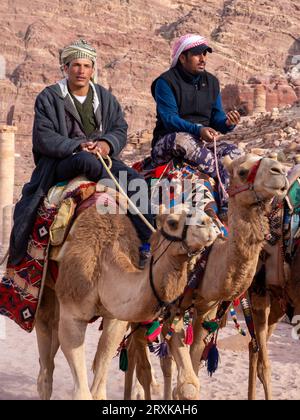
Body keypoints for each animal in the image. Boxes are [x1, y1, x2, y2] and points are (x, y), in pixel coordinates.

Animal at [35, 203, 218, 400]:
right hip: (46, 290)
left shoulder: (116, 318)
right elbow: (82, 393)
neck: (103, 261)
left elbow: (100, 382)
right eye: (172, 222)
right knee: (45, 364)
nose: (208, 224)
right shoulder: (73, 313)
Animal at [92, 153, 290, 398]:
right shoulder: (170, 307)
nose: (280, 171)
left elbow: (192, 369)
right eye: (243, 171)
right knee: (140, 362)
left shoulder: (207, 309)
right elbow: (186, 384)